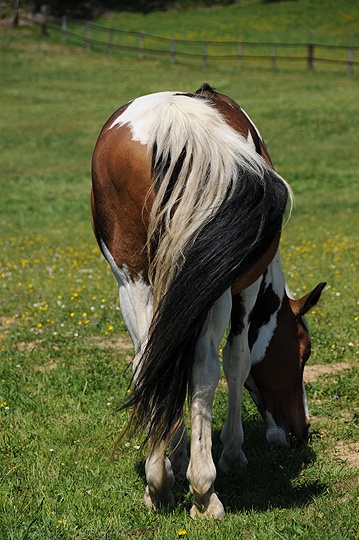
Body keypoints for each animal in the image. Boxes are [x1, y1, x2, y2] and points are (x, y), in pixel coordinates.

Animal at [90, 84, 326, 520]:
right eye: (303, 351)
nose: (299, 431)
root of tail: (174, 122)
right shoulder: (244, 291)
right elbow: (237, 360)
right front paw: (231, 454)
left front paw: (176, 456)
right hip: (213, 294)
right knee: (204, 366)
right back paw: (204, 492)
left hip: (132, 279)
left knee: (146, 360)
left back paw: (159, 483)